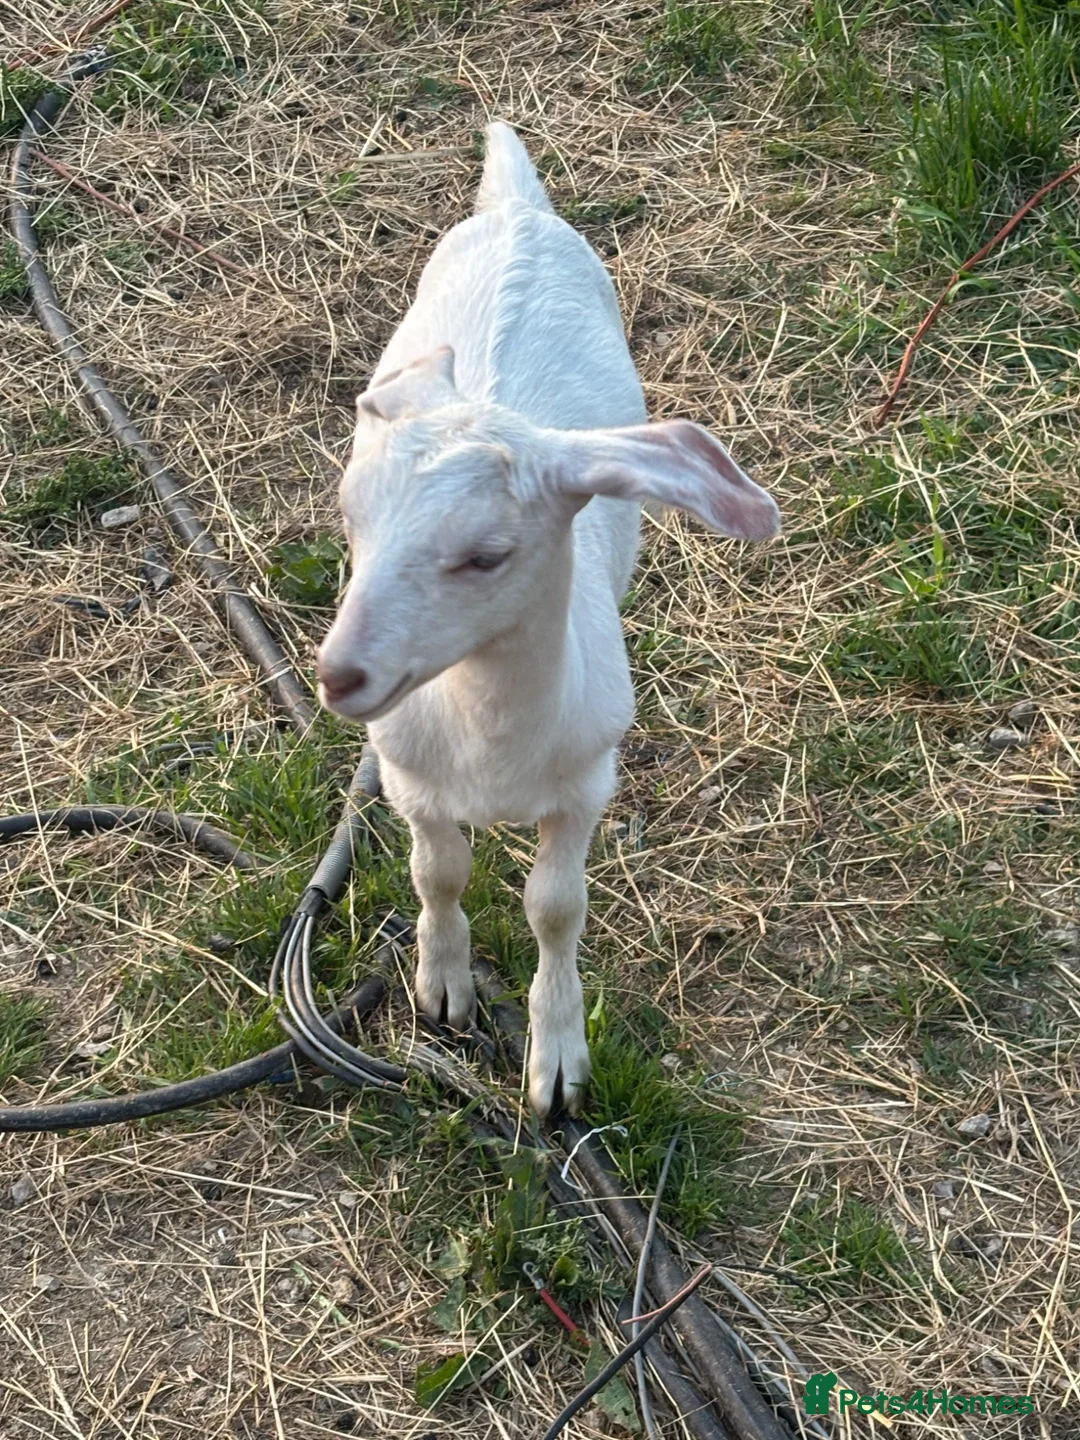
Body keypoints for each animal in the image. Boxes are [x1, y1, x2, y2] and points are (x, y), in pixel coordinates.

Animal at [316, 122, 781, 1116]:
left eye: (487, 555)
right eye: (350, 515)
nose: (340, 676)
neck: (492, 747)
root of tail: (516, 208)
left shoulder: (587, 779)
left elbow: (554, 906)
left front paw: (557, 1059)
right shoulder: (409, 776)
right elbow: (437, 872)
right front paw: (443, 989)